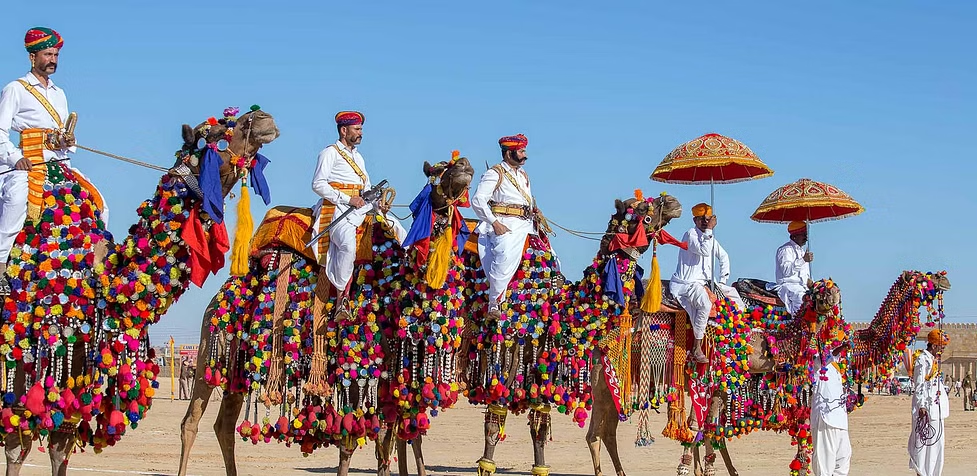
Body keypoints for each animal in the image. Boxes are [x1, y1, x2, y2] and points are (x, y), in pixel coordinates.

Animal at [0, 108, 282, 476]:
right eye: (213, 133)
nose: (263, 118)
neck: (100, 280)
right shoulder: (30, 345)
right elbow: (16, 444)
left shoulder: (78, 354)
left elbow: (61, 444)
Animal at [179, 152, 476, 476]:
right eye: (437, 172)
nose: (465, 166)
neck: (396, 287)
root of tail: (218, 296)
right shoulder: (357, 361)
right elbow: (355, 440)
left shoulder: (390, 374)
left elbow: (393, 440)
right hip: (210, 349)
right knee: (191, 420)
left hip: (237, 365)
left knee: (224, 424)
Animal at [462, 190, 684, 476]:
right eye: (642, 209)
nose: (673, 203)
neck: (558, 311)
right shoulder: (505, 361)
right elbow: (494, 422)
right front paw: (486, 465)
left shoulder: (545, 372)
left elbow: (540, 425)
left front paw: (541, 467)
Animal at [584, 270, 948, 474]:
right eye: (925, 277)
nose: (944, 279)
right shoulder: (724, 375)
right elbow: (702, 428)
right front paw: (689, 467)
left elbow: (708, 429)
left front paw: (702, 467)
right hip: (612, 375)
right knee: (602, 431)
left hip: (611, 377)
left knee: (601, 432)